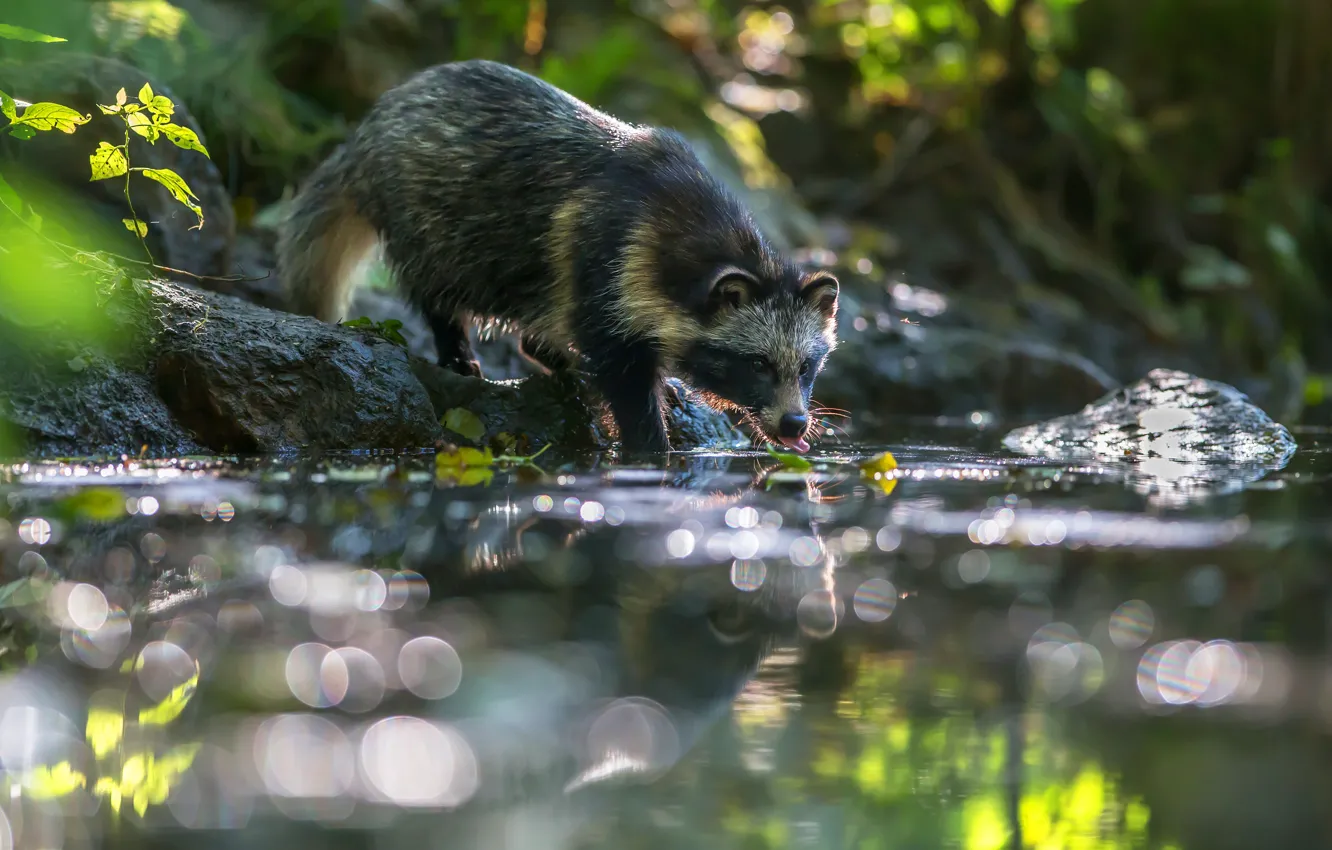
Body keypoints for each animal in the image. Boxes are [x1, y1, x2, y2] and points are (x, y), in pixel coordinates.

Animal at [277, 59, 839, 454]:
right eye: (758, 363)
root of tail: (368, 130)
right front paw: (652, 449)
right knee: (442, 284)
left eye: (806, 366)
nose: (795, 422)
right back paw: (455, 342)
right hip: (431, 218)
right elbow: (620, 371)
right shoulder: (606, 256)